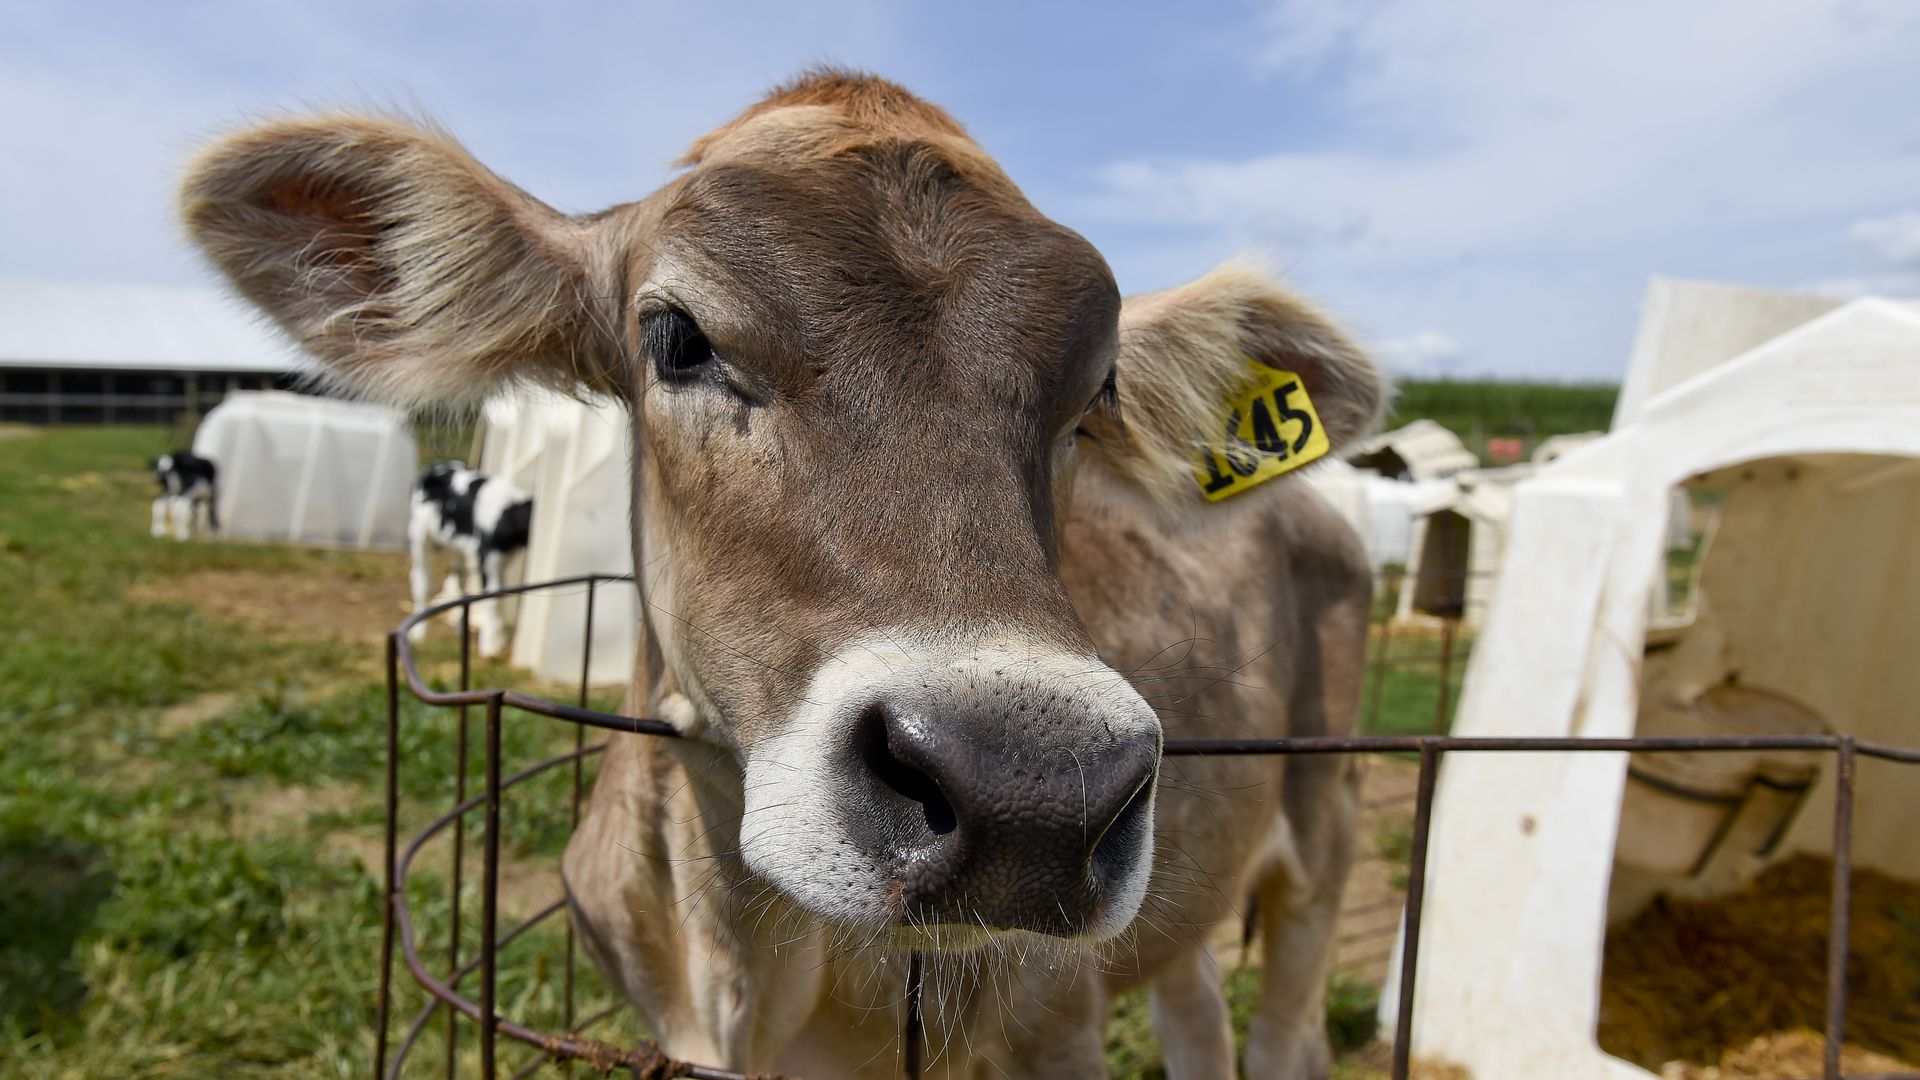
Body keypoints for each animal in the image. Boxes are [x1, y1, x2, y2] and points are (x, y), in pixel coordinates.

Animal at [407, 461, 533, 659]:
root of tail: (438, 466)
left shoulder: (503, 558)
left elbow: (501, 592)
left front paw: (496, 639)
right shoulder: (486, 556)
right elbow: (492, 596)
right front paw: (489, 647)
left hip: (456, 548)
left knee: (459, 582)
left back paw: (460, 626)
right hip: (418, 535)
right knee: (421, 579)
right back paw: (419, 632)